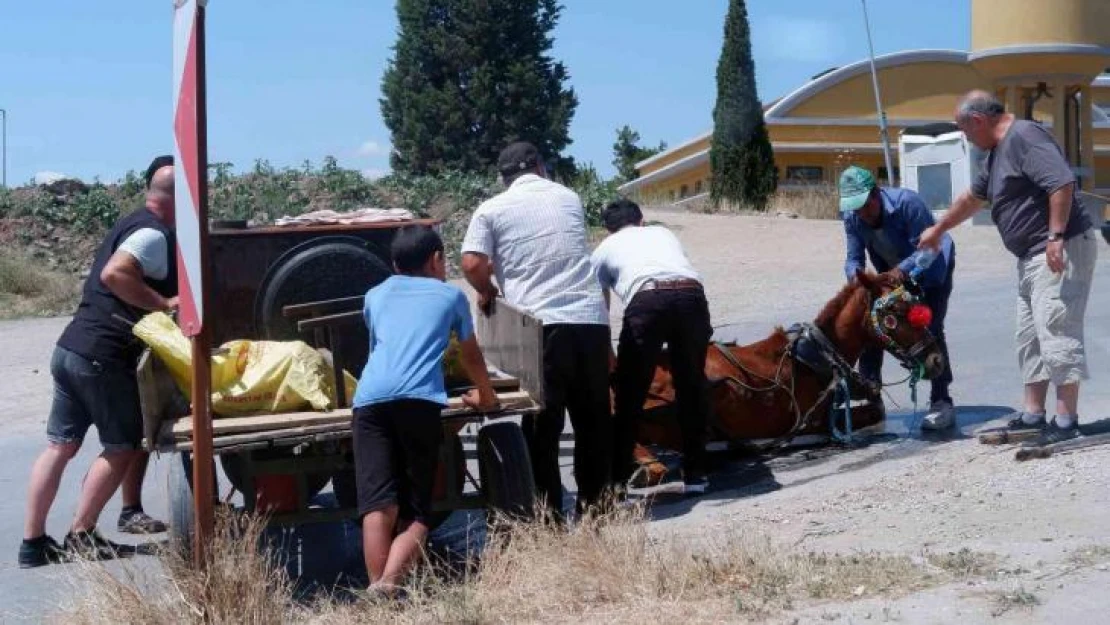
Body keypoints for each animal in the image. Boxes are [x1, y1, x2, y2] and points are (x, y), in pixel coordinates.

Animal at [626, 271, 945, 486]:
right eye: (896, 311)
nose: (937, 360)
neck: (819, 352)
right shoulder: (817, 419)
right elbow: (875, 409)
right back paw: (653, 466)